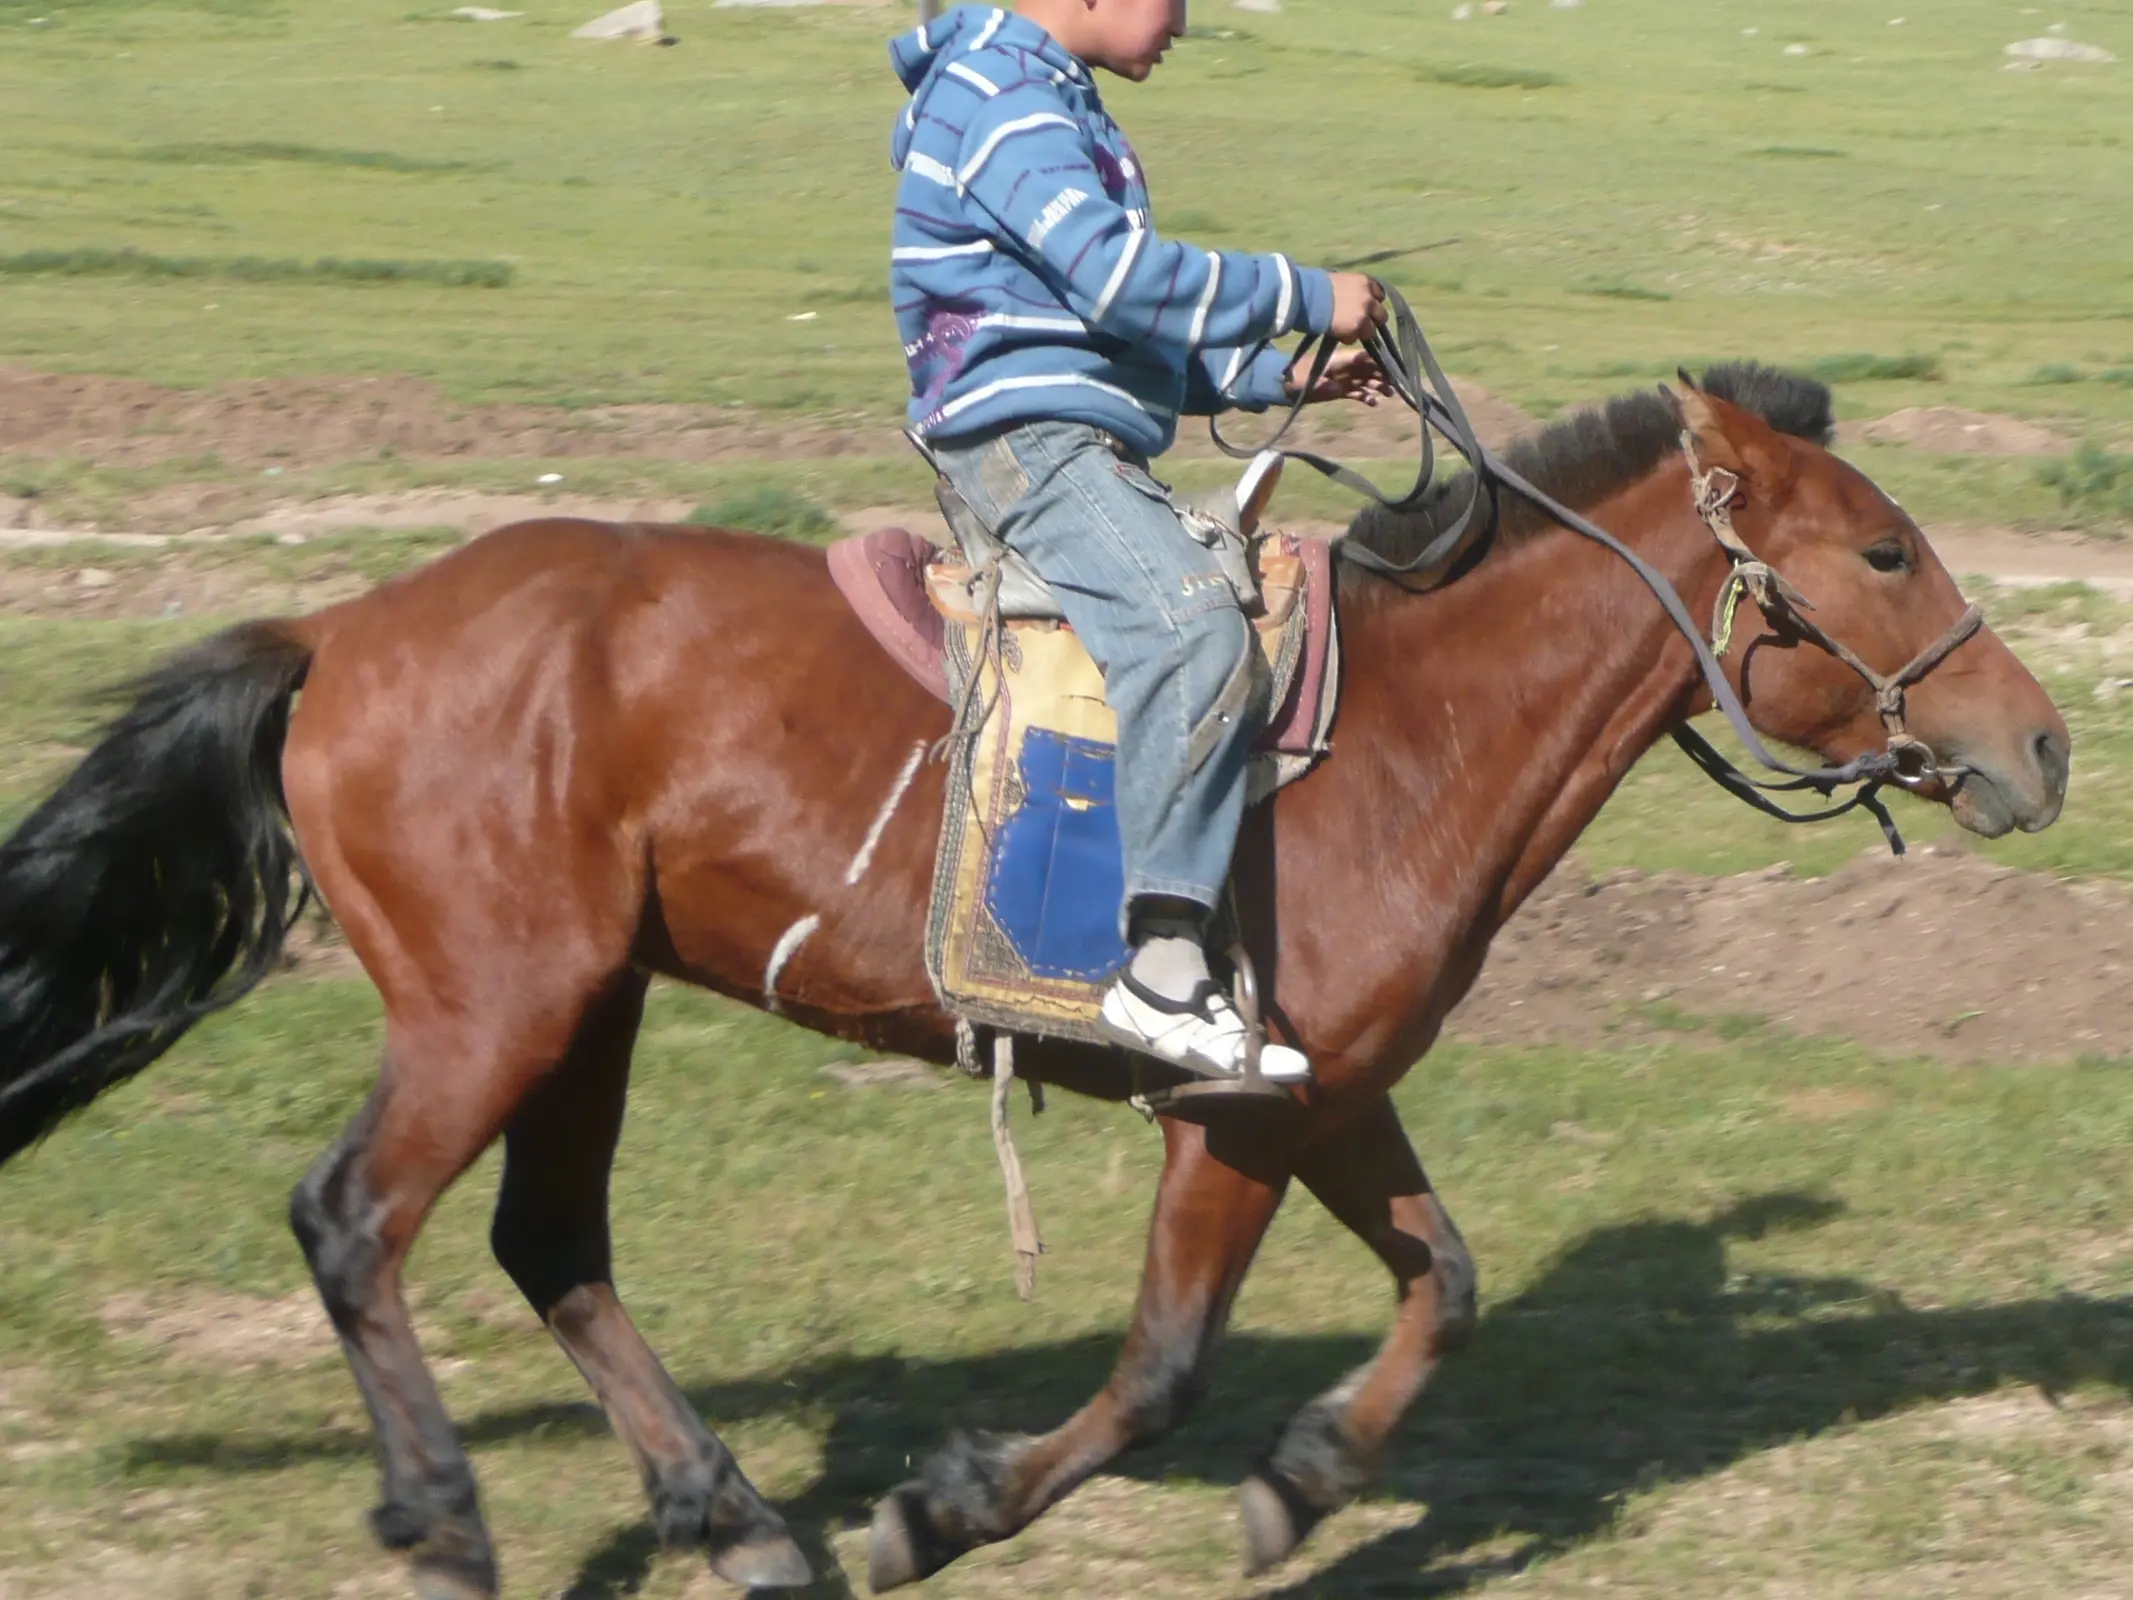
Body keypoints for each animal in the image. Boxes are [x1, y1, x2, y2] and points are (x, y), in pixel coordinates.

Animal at [0, 369, 2073, 1595]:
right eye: (1881, 549)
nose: (2044, 746)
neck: (1410, 727)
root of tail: (342, 627)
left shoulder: (1324, 1090)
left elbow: (1448, 1285)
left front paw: (1304, 1479)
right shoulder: (1227, 1108)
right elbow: (1158, 1370)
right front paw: (948, 1508)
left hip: (586, 1000)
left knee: (549, 1246)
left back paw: (735, 1521)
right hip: (490, 1005)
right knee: (355, 1217)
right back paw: (446, 1520)